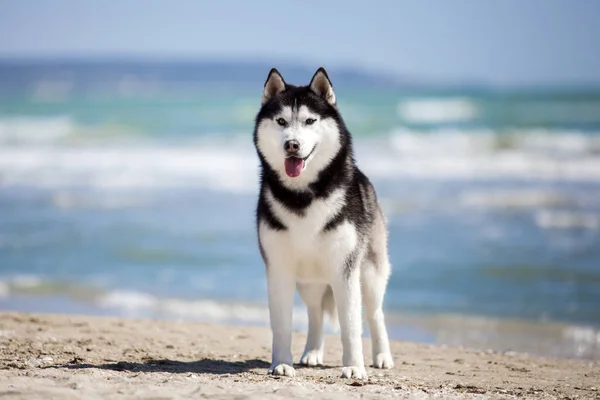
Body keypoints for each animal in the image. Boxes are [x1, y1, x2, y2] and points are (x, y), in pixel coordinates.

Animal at [253, 67, 394, 380]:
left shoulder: (345, 269)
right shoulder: (278, 268)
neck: (303, 195)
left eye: (309, 121)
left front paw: (354, 367)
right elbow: (281, 324)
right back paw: (312, 352)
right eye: (281, 121)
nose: (292, 144)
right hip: (309, 280)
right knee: (315, 312)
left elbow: (351, 324)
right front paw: (281, 363)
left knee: (376, 313)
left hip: (369, 272)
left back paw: (382, 357)